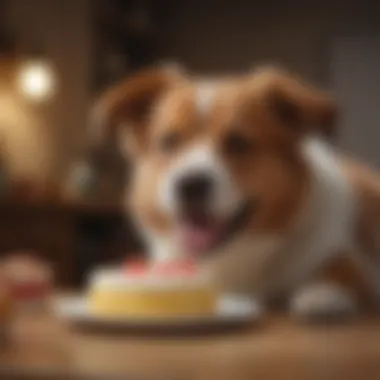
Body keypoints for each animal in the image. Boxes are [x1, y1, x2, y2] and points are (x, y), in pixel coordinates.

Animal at [93, 66, 380, 320]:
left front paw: (323, 292)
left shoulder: (344, 253)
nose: (190, 185)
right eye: (169, 141)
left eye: (239, 142)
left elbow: (342, 271)